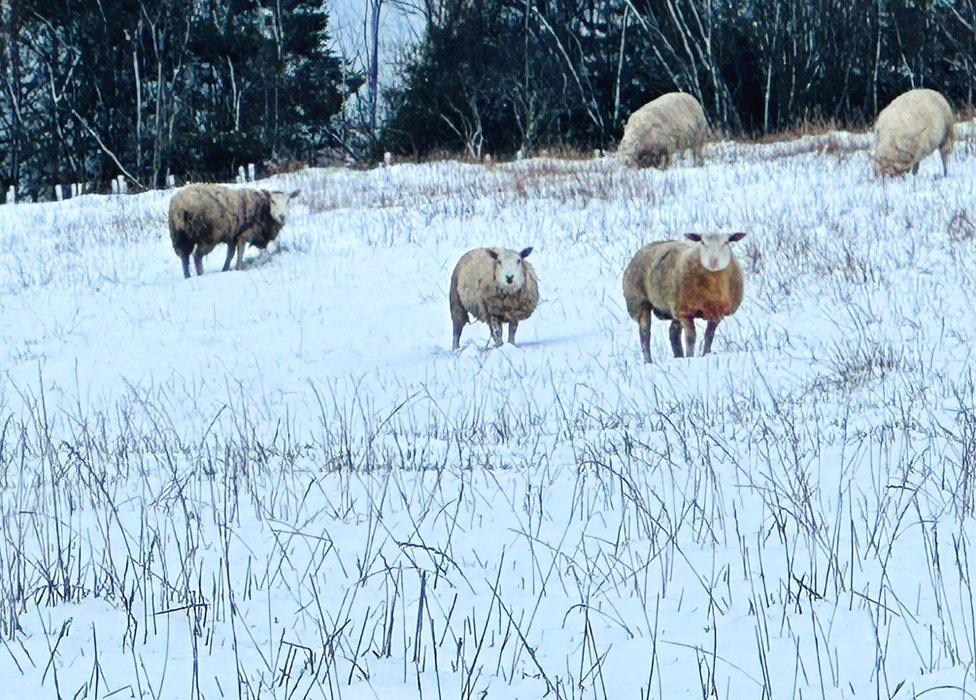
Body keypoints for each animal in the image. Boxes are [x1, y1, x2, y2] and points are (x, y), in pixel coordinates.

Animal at [169, 183, 298, 278]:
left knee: (184, 257)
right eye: (273, 201)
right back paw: (201, 275)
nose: (282, 216)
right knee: (197, 256)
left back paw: (187, 276)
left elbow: (230, 254)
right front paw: (237, 268)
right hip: (208, 236)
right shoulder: (244, 234)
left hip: (180, 237)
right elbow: (240, 252)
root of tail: (180, 207)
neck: (264, 211)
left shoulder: (232, 236)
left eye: (288, 201)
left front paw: (225, 269)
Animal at [624, 234, 748, 364]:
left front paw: (705, 354)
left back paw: (678, 356)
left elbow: (709, 336)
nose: (713, 261)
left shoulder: (717, 314)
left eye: (726, 242)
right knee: (645, 336)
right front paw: (690, 357)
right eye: (702, 242)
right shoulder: (685, 313)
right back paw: (649, 361)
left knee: (673, 333)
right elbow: (691, 338)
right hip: (640, 304)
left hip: (674, 308)